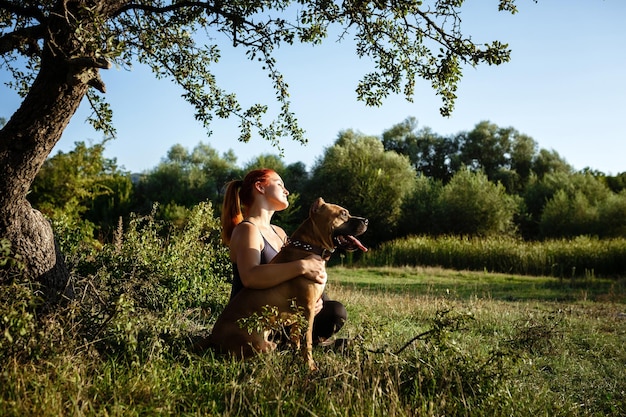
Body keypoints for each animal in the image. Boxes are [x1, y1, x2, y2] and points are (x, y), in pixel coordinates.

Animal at [196, 197, 366, 368]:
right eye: (343, 214)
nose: (366, 220)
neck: (309, 247)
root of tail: (213, 337)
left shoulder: (299, 315)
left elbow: (297, 339)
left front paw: (296, 357)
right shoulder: (307, 310)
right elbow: (307, 341)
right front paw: (310, 367)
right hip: (262, 345)